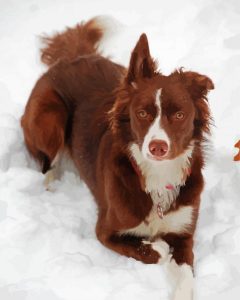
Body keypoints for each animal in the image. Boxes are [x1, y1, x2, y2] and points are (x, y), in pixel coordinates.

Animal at [21, 17, 214, 298]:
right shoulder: (106, 230)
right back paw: (50, 184)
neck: (157, 178)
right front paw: (158, 247)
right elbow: (149, 250)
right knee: (47, 161)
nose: (157, 147)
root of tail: (74, 57)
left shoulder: (183, 234)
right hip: (49, 117)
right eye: (142, 113)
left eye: (179, 115)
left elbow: (186, 276)